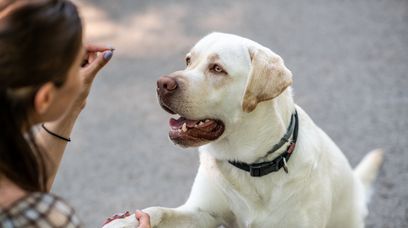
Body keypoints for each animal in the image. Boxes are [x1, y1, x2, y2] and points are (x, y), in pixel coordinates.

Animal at [103, 32, 384, 228]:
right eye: (188, 60)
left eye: (217, 69)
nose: (161, 84)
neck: (251, 165)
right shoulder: (202, 213)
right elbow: (157, 211)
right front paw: (124, 222)